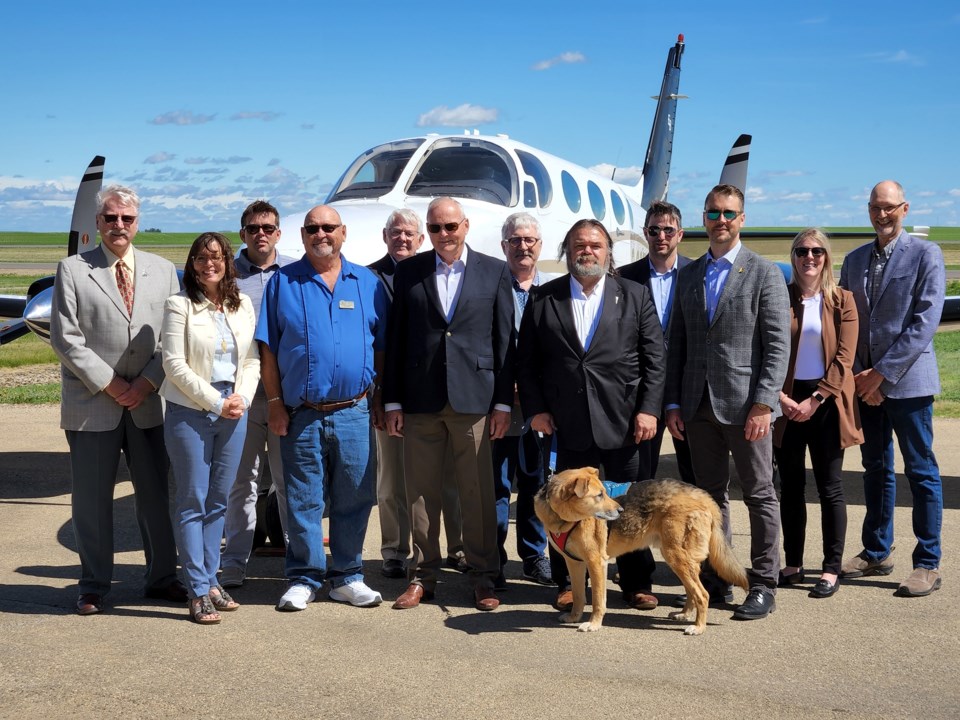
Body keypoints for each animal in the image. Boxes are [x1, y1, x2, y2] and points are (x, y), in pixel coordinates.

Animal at [532, 466, 752, 636]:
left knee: (703, 594)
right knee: (693, 590)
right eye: (599, 495)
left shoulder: (596, 562)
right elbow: (578, 596)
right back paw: (684, 614)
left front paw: (594, 624)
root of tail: (702, 494)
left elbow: (598, 601)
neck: (565, 519)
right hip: (681, 559)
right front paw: (574, 617)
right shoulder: (575, 563)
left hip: (676, 557)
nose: (621, 511)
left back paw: (698, 627)